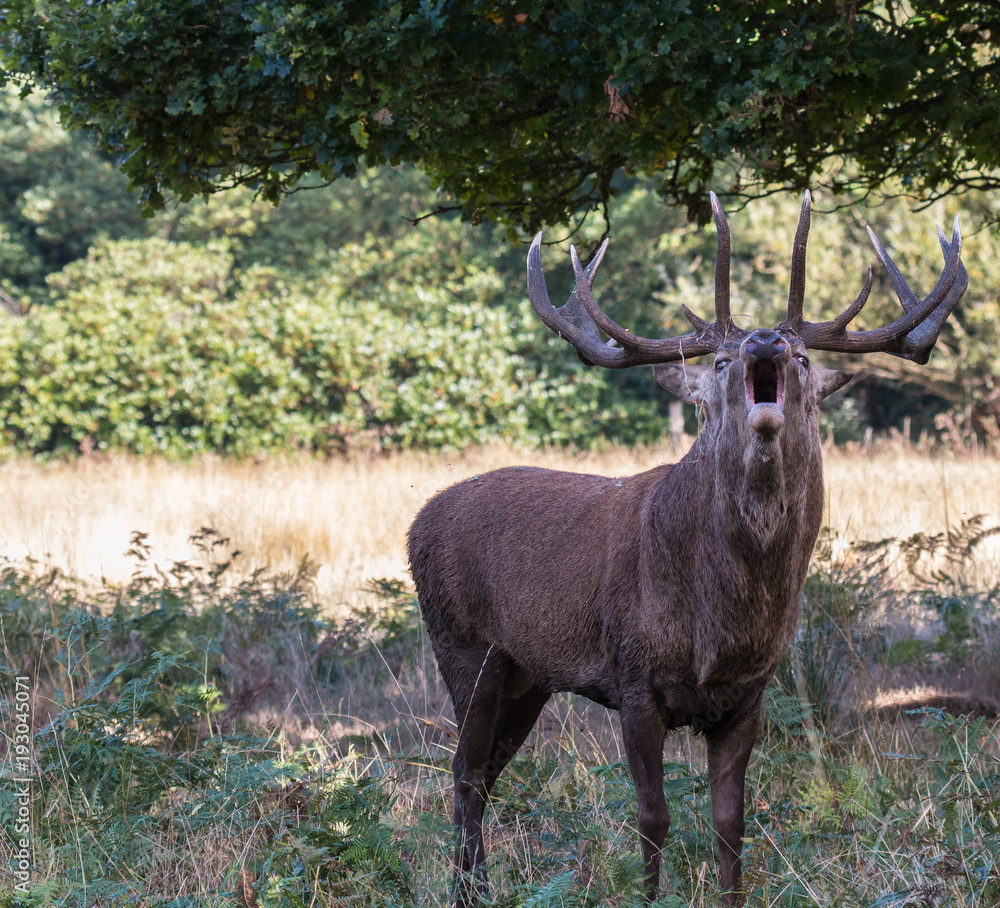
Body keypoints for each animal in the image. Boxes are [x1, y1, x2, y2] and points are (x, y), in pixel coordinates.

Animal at [407, 192, 967, 905]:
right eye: (721, 361)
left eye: (802, 358)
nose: (763, 341)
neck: (716, 628)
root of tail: (416, 523)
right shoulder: (633, 676)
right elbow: (652, 815)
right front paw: (647, 895)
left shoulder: (748, 694)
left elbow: (731, 820)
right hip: (463, 645)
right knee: (463, 770)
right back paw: (468, 888)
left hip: (527, 676)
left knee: (484, 772)